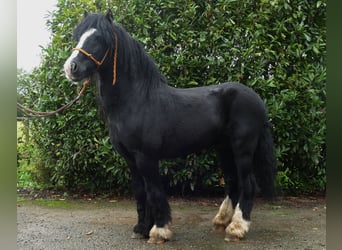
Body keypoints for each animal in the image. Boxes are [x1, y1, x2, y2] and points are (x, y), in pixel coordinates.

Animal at [64, 10, 276, 244]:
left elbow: (154, 191)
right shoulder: (130, 159)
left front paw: (159, 230)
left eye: (99, 39)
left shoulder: (146, 157)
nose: (71, 68)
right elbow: (140, 192)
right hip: (224, 148)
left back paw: (237, 228)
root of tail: (256, 99)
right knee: (232, 182)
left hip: (242, 149)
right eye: (79, 36)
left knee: (248, 183)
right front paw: (141, 228)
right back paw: (222, 221)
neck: (136, 100)